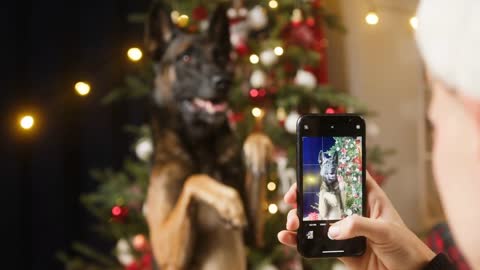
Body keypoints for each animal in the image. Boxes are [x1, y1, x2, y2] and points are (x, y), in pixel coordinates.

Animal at [142, 2, 272, 270]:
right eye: (186, 58)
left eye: (220, 57)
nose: (225, 82)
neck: (201, 144)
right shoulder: (164, 248)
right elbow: (194, 179)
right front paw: (228, 201)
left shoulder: (253, 235)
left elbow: (256, 136)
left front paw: (256, 150)